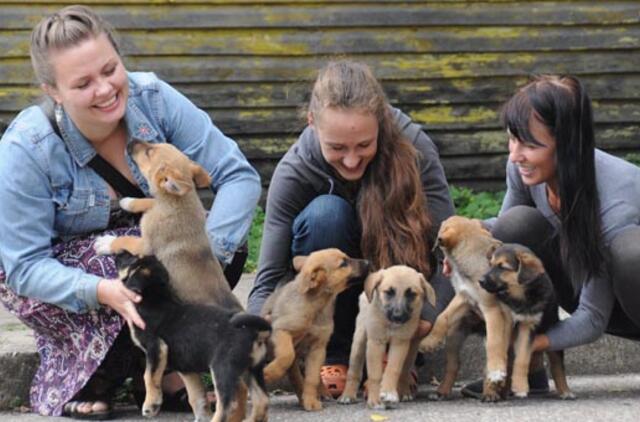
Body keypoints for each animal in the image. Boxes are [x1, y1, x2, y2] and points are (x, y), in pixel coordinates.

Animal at [116, 252, 272, 422]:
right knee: (262, 400)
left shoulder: (156, 347)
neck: (155, 299)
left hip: (223, 369)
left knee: (228, 405)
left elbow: (149, 376)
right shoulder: (187, 369)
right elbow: (195, 396)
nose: (118, 254)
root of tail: (254, 331)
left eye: (133, 260)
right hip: (251, 369)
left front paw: (150, 405)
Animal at [262, 249, 370, 410]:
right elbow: (286, 355)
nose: (369, 262)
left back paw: (320, 394)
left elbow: (312, 378)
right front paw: (270, 372)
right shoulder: (280, 331)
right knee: (295, 374)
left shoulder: (318, 348)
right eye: (343, 263)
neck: (316, 306)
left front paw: (311, 400)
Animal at [338, 268, 438, 408]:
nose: (398, 317)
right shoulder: (376, 342)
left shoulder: (400, 343)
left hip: (412, 348)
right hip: (360, 338)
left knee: (405, 370)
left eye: (411, 294)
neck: (390, 324)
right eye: (389, 292)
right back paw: (347, 395)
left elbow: (393, 368)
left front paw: (389, 391)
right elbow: (375, 374)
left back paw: (405, 392)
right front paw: (375, 400)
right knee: (354, 370)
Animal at [418, 216, 512, 404]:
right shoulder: (463, 297)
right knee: (454, 365)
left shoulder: (493, 311)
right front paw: (430, 341)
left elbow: (494, 344)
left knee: (498, 360)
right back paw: (442, 391)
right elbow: (442, 316)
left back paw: (492, 391)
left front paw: (496, 372)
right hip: (455, 335)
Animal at [480, 244, 576, 398]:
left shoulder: (529, 325)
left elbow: (523, 357)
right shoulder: (505, 319)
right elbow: (498, 349)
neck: (519, 296)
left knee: (557, 365)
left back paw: (565, 391)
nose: (480, 281)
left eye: (502, 267)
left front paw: (519, 385)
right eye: (490, 265)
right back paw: (492, 391)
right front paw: (493, 382)